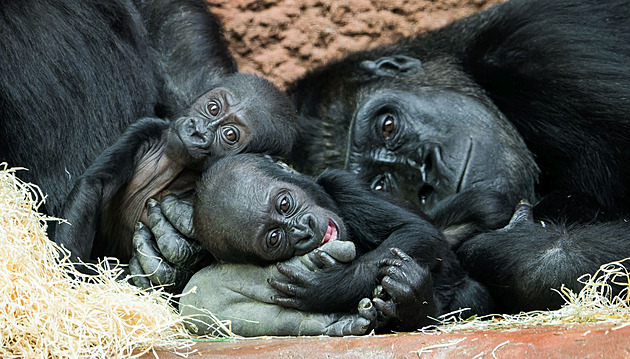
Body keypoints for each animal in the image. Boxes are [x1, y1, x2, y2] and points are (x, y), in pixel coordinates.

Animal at [190, 153, 492, 330]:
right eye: (274, 238)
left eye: (284, 203)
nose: (304, 229)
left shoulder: (343, 182)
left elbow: (417, 230)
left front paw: (331, 286)